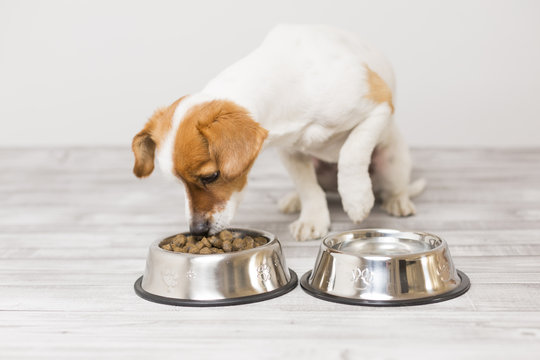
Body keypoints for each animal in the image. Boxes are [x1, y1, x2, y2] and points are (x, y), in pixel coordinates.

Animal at [132, 23, 426, 240]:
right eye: (178, 183)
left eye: (211, 176)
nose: (197, 232)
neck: (294, 83)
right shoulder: (290, 151)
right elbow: (308, 188)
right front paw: (313, 218)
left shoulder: (379, 105)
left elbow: (352, 154)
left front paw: (356, 198)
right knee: (316, 186)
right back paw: (294, 200)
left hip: (393, 160)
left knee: (394, 187)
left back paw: (396, 201)